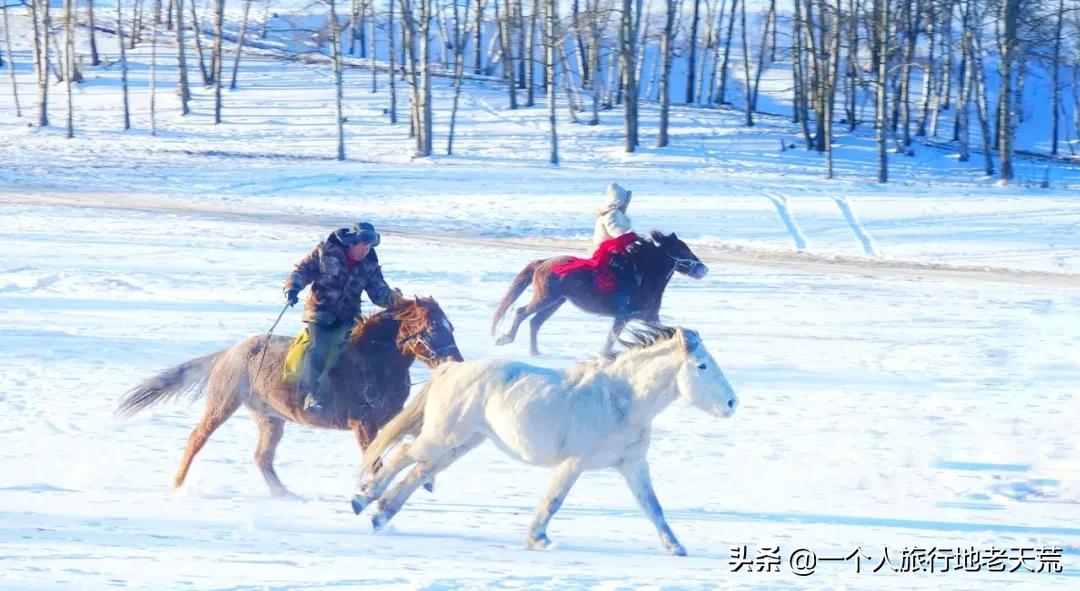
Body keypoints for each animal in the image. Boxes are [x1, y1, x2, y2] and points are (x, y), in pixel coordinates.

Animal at [116, 298, 462, 497]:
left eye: (451, 326)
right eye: (432, 328)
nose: (455, 360)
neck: (374, 360)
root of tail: (229, 353)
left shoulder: (391, 416)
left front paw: (427, 479)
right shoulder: (363, 423)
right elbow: (373, 457)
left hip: (270, 418)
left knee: (262, 457)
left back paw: (286, 495)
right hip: (223, 403)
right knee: (197, 438)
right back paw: (178, 483)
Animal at [349, 324, 738, 553]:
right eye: (702, 365)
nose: (732, 403)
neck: (619, 399)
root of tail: (449, 368)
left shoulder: (632, 465)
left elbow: (652, 506)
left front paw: (676, 547)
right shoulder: (573, 463)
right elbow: (554, 501)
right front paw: (538, 539)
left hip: (463, 443)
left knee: (419, 471)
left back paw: (381, 513)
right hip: (443, 436)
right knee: (403, 454)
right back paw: (363, 499)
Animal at [490, 232, 708, 356]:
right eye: (682, 249)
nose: (703, 269)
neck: (642, 277)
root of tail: (542, 262)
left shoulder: (649, 316)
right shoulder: (624, 316)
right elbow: (612, 338)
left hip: (556, 302)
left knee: (535, 322)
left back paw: (535, 352)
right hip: (545, 298)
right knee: (521, 312)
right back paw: (504, 339)